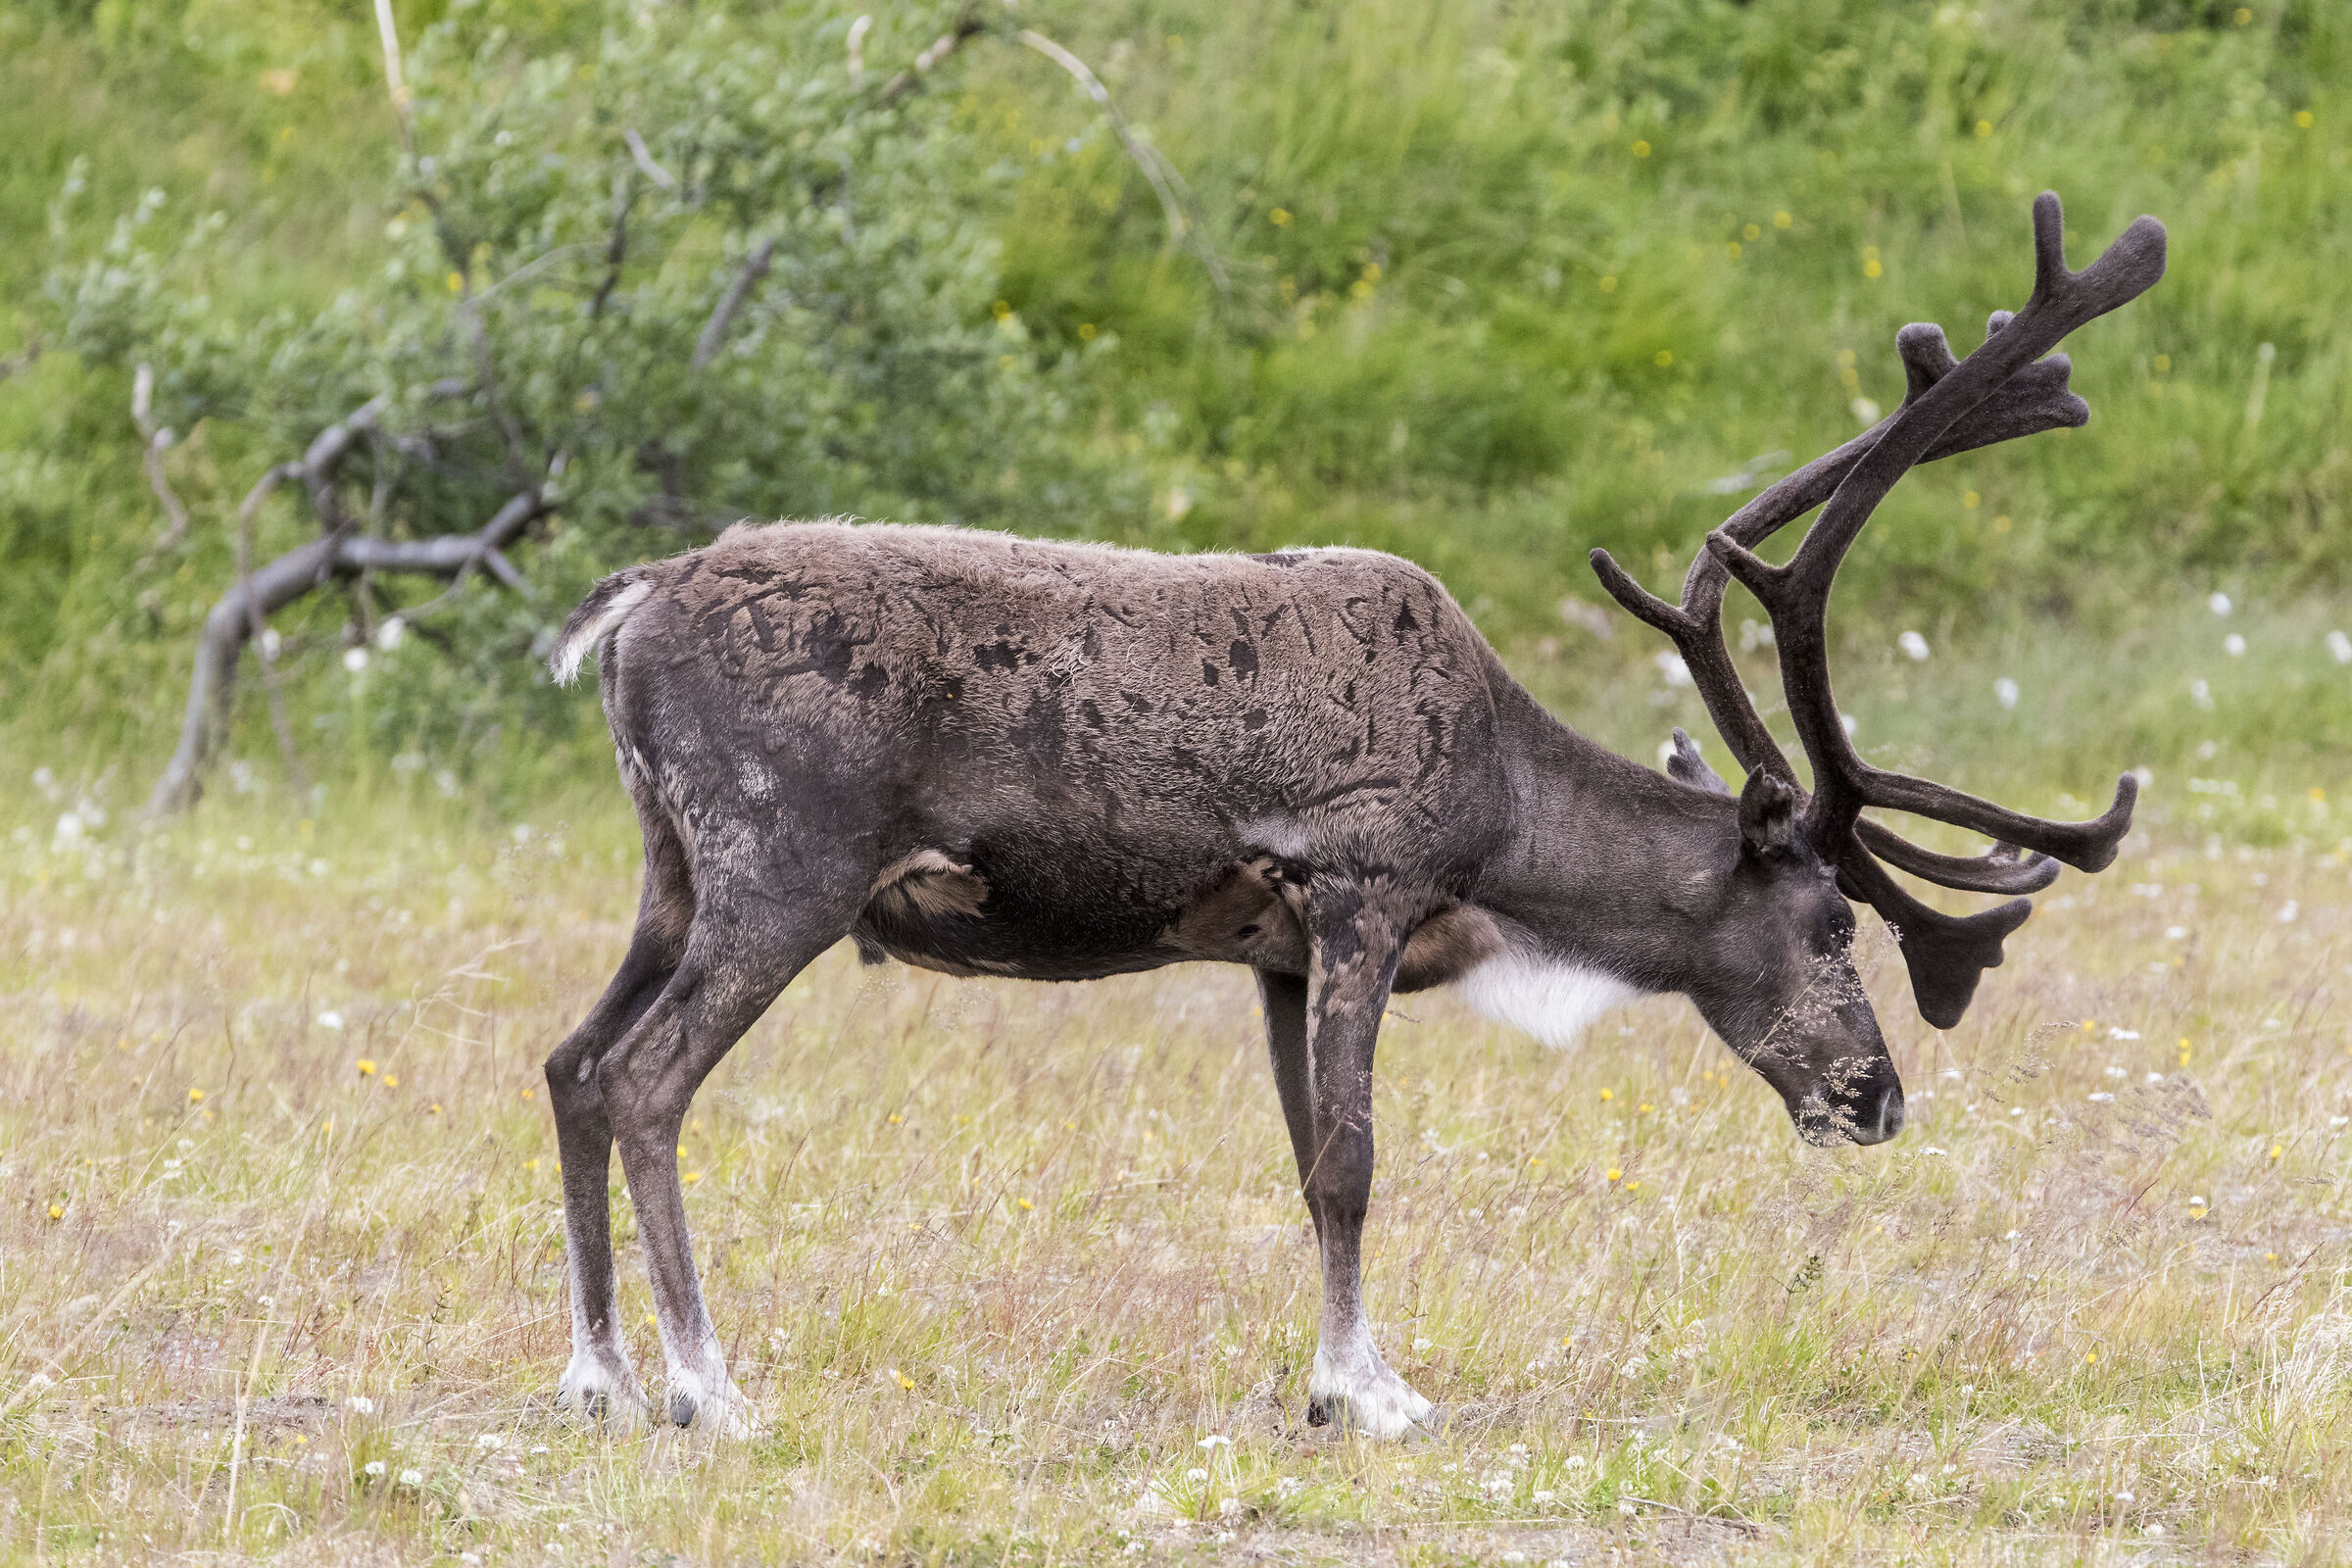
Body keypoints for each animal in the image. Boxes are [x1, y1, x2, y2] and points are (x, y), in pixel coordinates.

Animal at [542, 193, 2164, 1438]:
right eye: (1831, 921)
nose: (1877, 1097)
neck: (1505, 819)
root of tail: (628, 609)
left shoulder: (1272, 955)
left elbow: (1303, 1155)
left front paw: (1336, 1372)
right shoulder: (1361, 890)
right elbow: (1355, 1160)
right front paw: (1368, 1393)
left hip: (671, 870)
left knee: (569, 1064)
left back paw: (598, 1376)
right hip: (786, 868)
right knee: (648, 1080)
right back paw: (705, 1387)